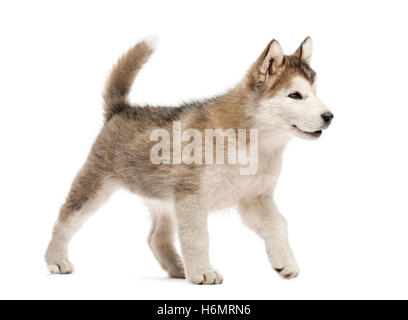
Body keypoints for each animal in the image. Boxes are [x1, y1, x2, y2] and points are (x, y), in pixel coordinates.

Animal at [45, 37, 332, 284]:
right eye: (295, 95)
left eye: (315, 92)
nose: (329, 116)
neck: (254, 143)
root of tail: (121, 109)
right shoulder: (192, 197)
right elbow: (197, 237)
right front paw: (203, 272)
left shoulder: (254, 198)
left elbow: (279, 224)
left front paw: (285, 262)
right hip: (95, 186)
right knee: (65, 219)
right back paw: (55, 259)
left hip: (164, 200)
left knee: (156, 237)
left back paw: (178, 268)